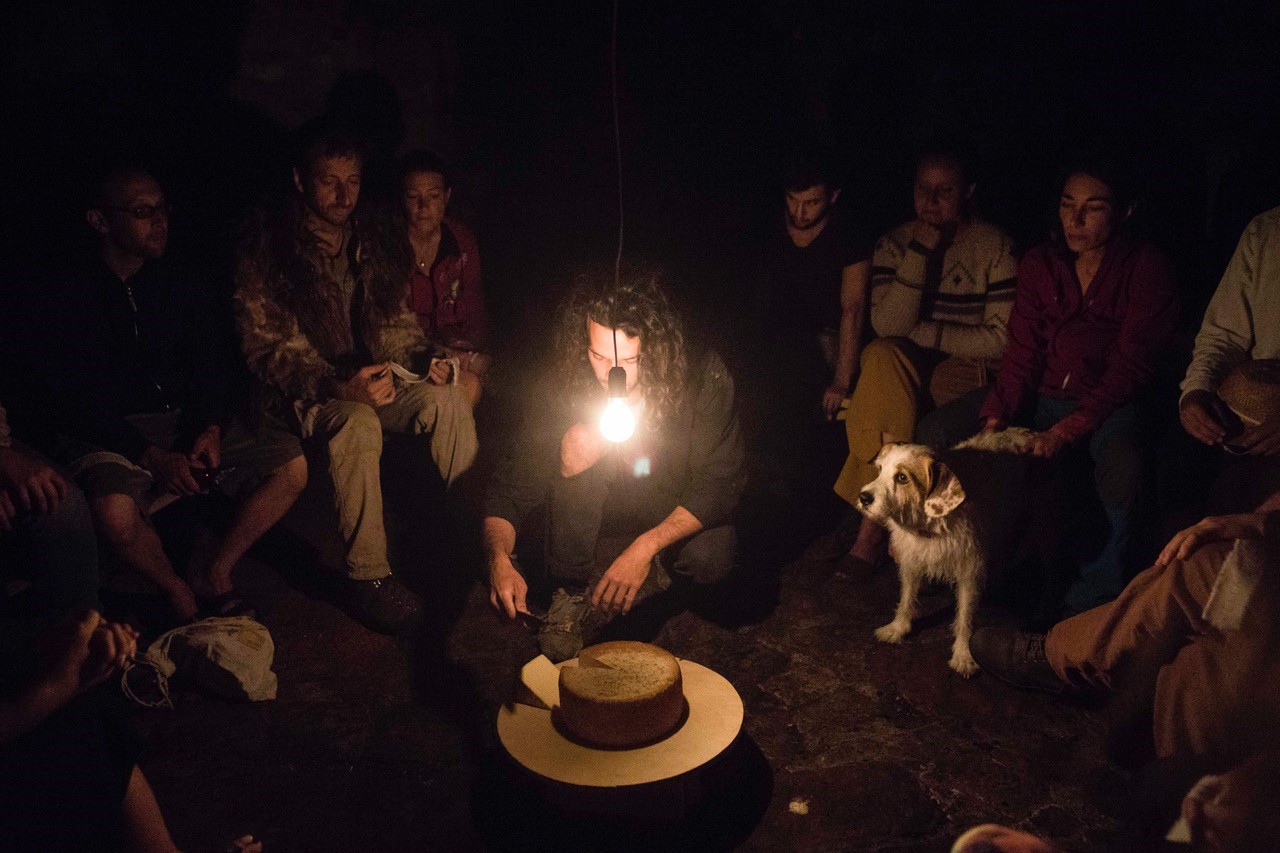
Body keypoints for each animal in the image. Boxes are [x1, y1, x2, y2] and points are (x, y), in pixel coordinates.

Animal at [855, 427, 1034, 676]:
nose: (863, 498)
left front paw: (963, 654)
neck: (932, 525)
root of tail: (1021, 432)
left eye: (902, 478)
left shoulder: (969, 574)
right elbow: (906, 600)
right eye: (880, 470)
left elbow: (965, 618)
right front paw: (898, 628)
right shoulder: (911, 563)